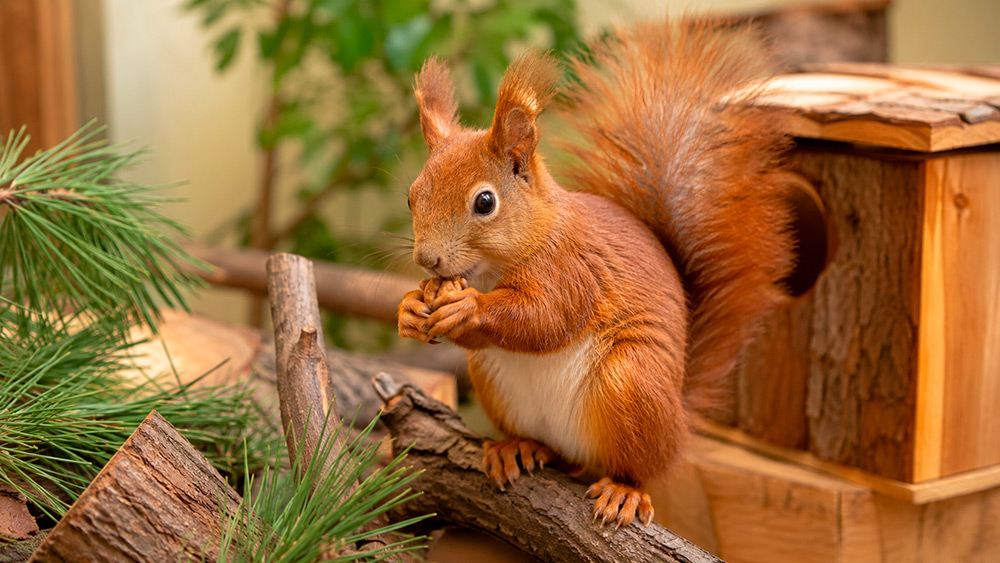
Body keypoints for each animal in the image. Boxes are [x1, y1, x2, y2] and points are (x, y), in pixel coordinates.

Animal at [397, 18, 793, 528]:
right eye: (411, 196)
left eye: (485, 202)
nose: (427, 260)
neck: (493, 269)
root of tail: (679, 421)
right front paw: (409, 308)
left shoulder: (572, 270)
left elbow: (546, 319)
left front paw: (468, 308)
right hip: (495, 381)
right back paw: (517, 447)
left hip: (632, 381)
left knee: (637, 465)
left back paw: (624, 490)